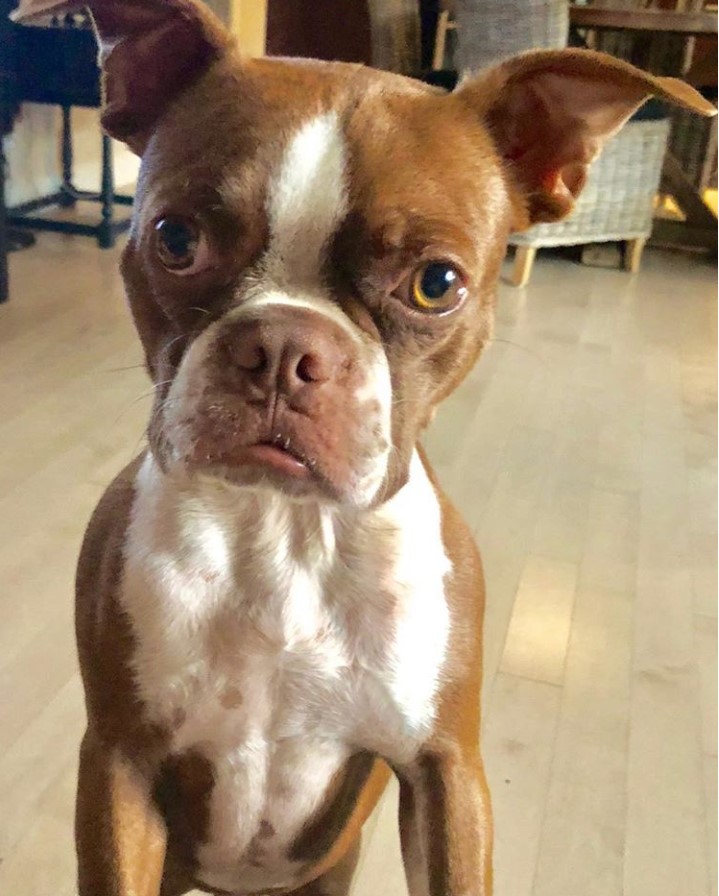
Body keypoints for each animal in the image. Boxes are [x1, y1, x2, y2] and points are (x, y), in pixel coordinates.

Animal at [15, 1, 716, 896]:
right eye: (174, 238)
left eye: (436, 284)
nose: (282, 346)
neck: (284, 533)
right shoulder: (121, 765)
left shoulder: (446, 773)